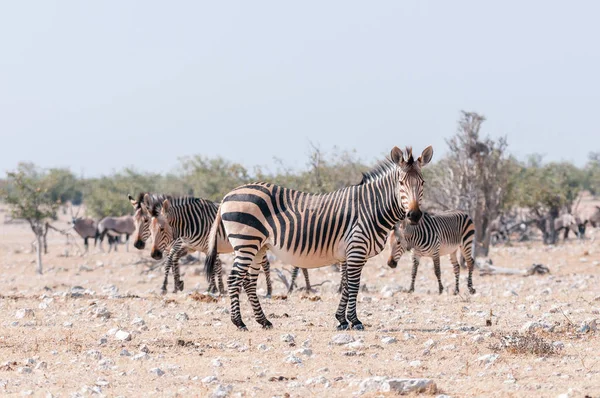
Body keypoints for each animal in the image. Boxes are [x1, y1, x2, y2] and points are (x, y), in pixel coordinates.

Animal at [205, 145, 432, 332]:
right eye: (401, 183)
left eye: (422, 182)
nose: (414, 215)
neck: (371, 208)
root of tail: (227, 195)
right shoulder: (356, 249)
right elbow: (354, 285)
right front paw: (355, 321)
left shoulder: (347, 254)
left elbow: (346, 285)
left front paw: (341, 320)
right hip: (246, 242)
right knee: (234, 279)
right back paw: (239, 322)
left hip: (257, 246)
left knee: (249, 282)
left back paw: (264, 321)